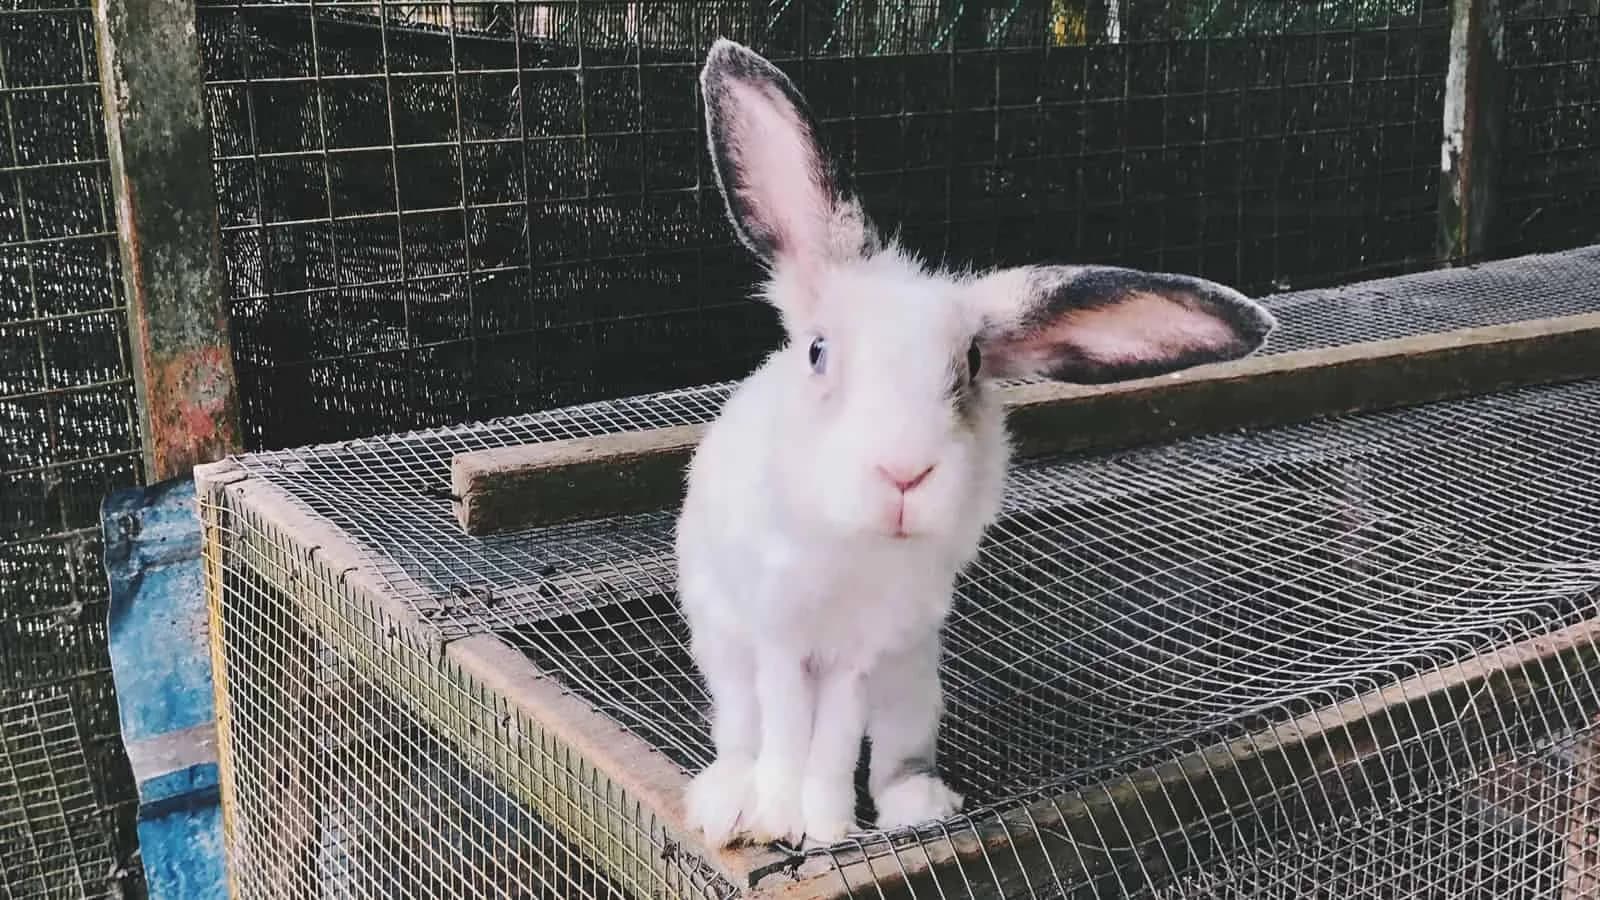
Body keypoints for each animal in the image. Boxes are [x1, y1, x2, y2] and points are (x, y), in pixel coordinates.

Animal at [675, 38, 1277, 850]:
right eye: (818, 352)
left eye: (970, 365)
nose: (904, 473)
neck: (854, 552)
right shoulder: (779, 636)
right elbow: (789, 734)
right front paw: (781, 821)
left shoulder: (865, 652)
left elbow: (832, 743)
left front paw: (828, 828)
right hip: (726, 655)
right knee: (742, 732)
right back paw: (730, 805)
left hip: (915, 680)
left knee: (893, 754)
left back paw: (916, 806)